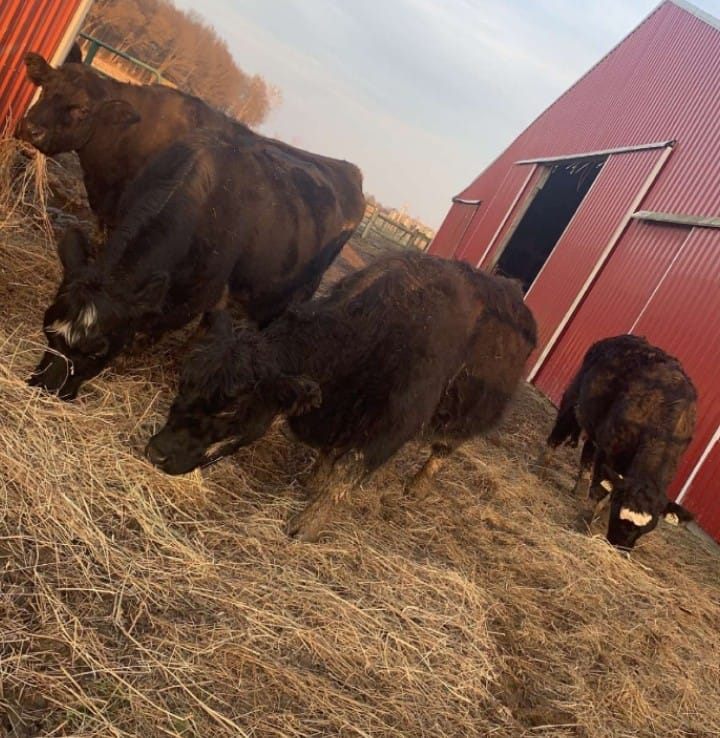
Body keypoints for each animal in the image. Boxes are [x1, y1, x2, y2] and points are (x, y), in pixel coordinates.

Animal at [28, 128, 364, 400]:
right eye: (47, 327)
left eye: (98, 349)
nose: (45, 388)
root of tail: (348, 168)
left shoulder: (199, 292)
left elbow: (159, 326)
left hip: (303, 286)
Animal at [145, 251, 537, 541]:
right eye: (185, 382)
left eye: (232, 409)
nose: (156, 453)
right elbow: (329, 456)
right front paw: (312, 482)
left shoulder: (388, 428)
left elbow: (346, 473)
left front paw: (306, 525)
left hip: (468, 414)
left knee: (442, 449)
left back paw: (417, 486)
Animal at [544, 334, 696, 550]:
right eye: (620, 518)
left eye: (645, 529)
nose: (621, 548)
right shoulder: (610, 451)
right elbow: (600, 489)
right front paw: (586, 520)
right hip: (573, 400)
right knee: (558, 433)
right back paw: (542, 466)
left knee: (588, 454)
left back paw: (579, 489)